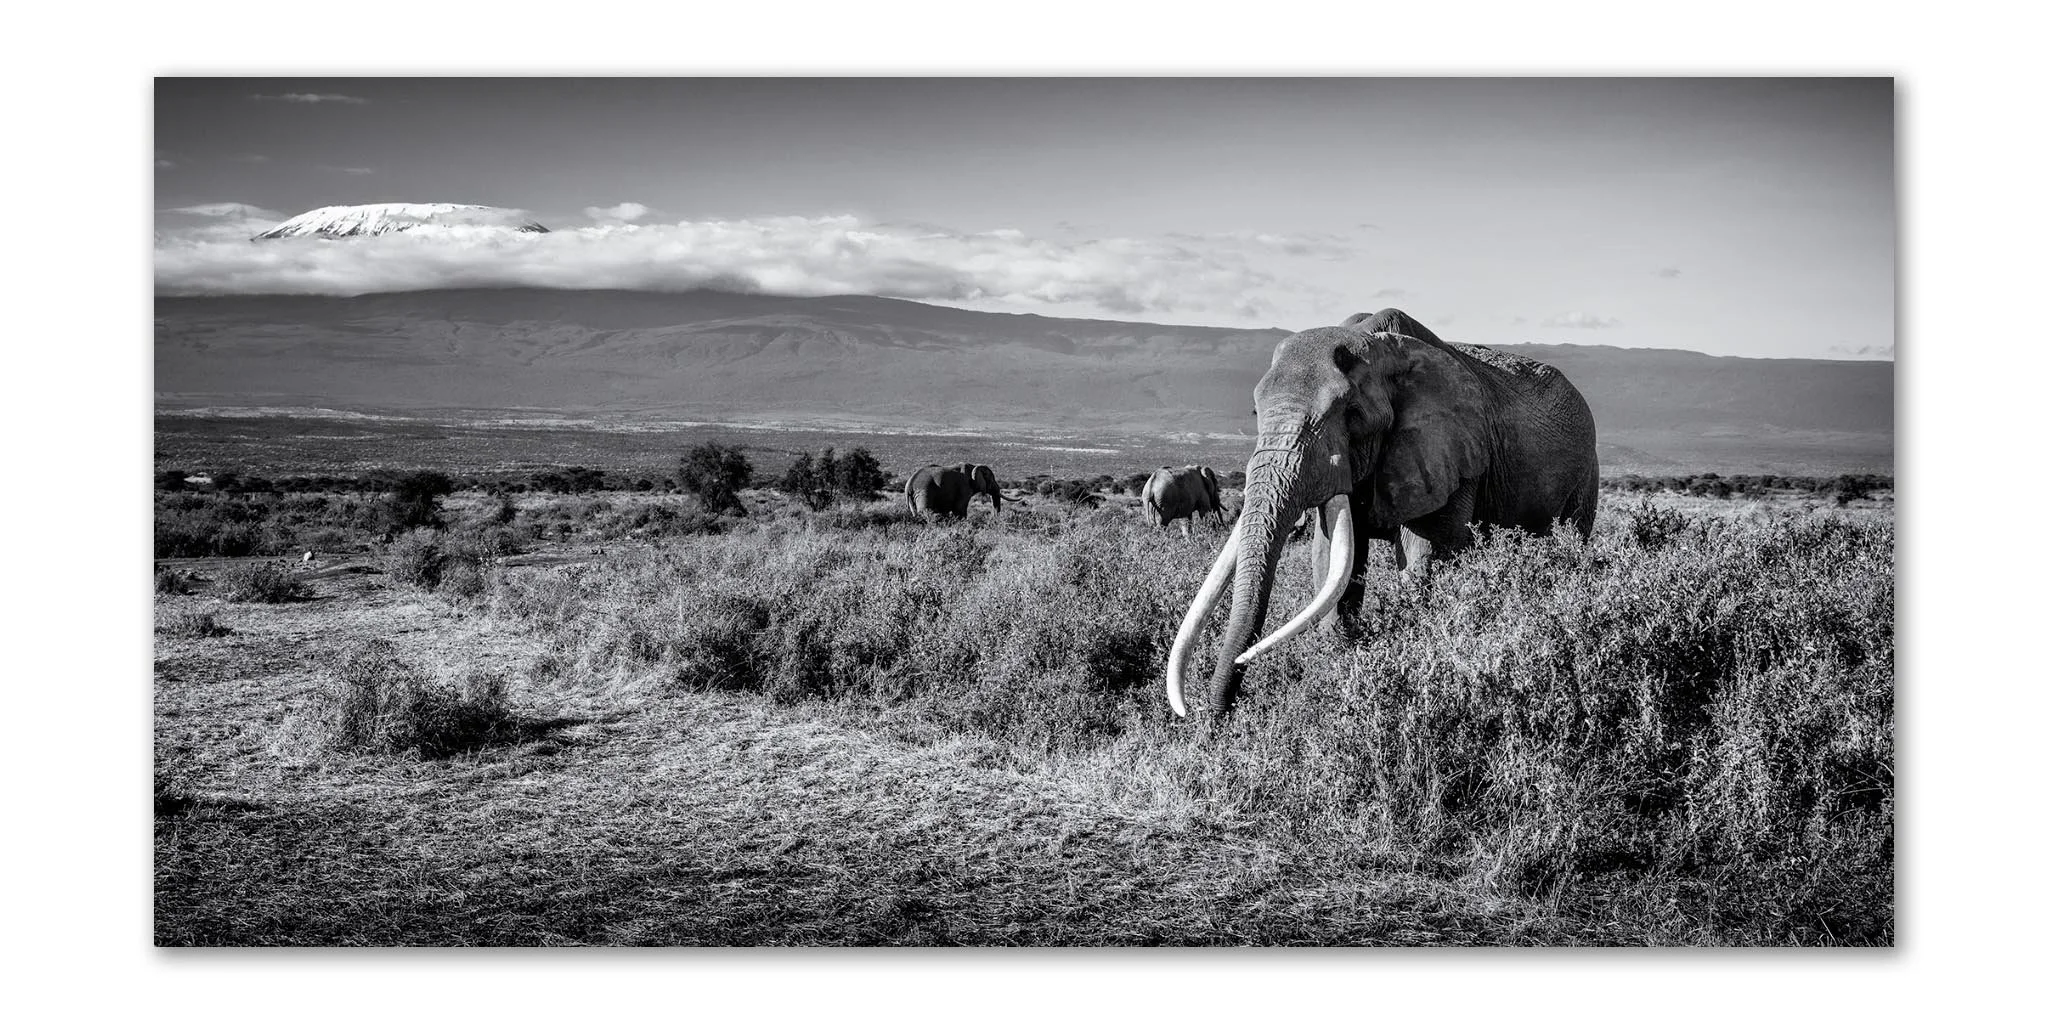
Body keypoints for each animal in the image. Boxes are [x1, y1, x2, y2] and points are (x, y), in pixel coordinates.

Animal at [1165, 308, 1599, 718]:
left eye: (1351, 415)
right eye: (1255, 414)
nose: (1210, 719)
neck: (1379, 347)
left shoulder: (1449, 454)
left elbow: (1424, 559)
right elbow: (1333, 563)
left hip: (1585, 477)